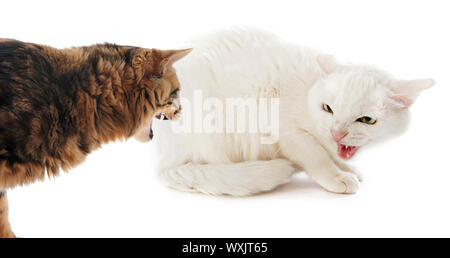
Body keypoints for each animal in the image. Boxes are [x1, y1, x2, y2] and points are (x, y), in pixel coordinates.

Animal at [152, 28, 436, 196]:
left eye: (366, 120)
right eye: (328, 109)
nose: (336, 132)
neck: (308, 92)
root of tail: (164, 156)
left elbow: (331, 155)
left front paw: (346, 167)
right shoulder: (287, 131)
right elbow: (317, 157)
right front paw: (337, 177)